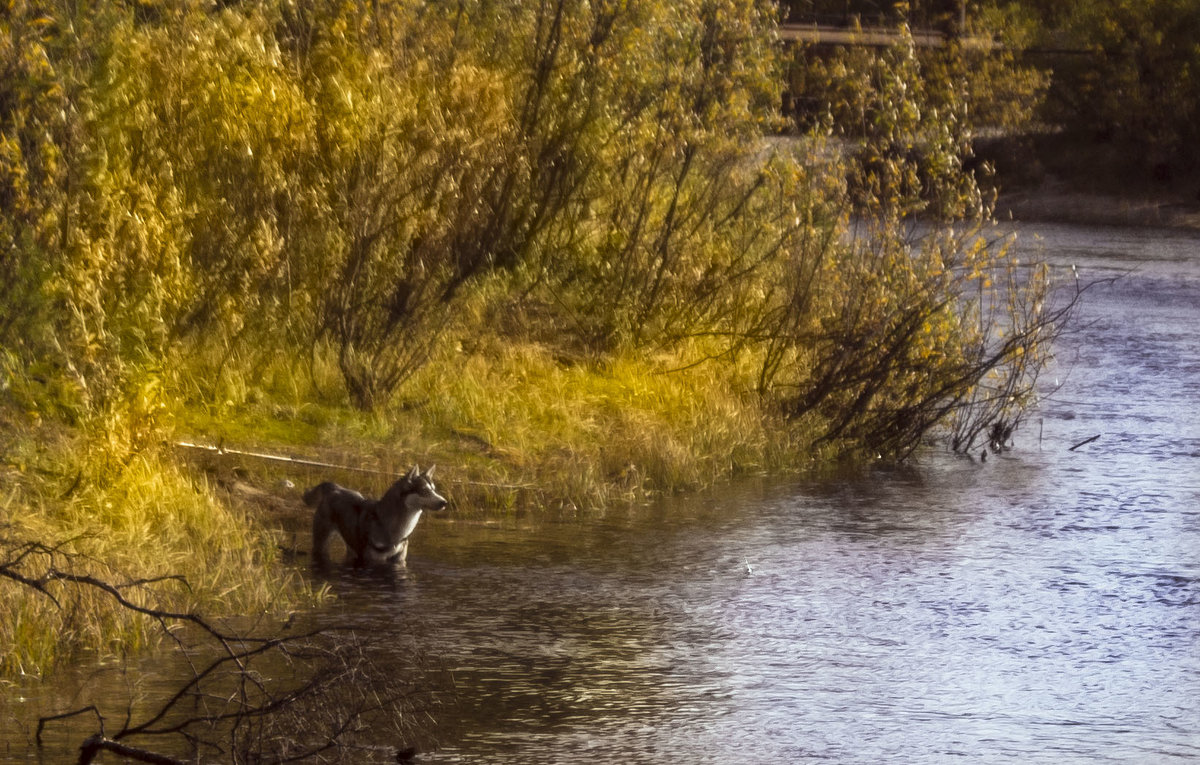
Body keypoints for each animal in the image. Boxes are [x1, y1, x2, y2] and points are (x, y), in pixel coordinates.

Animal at [302, 465, 448, 565]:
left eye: (434, 490)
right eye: (424, 490)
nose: (444, 502)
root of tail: (335, 488)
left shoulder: (399, 561)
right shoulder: (372, 560)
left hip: (351, 545)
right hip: (322, 542)